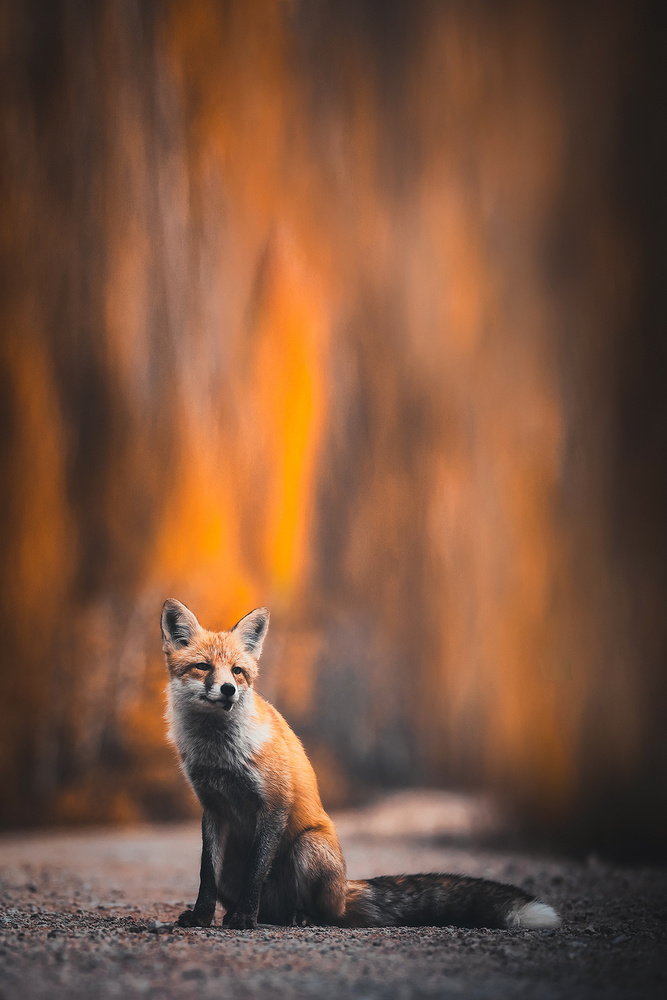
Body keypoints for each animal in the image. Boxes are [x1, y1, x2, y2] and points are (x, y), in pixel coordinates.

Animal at [161, 598, 560, 931]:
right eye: (203, 667)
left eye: (238, 671)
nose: (228, 690)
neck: (219, 752)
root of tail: (345, 887)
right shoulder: (212, 808)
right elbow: (206, 875)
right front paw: (201, 917)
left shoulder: (274, 804)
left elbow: (255, 873)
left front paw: (245, 918)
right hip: (241, 862)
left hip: (308, 848)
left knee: (326, 914)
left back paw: (297, 917)